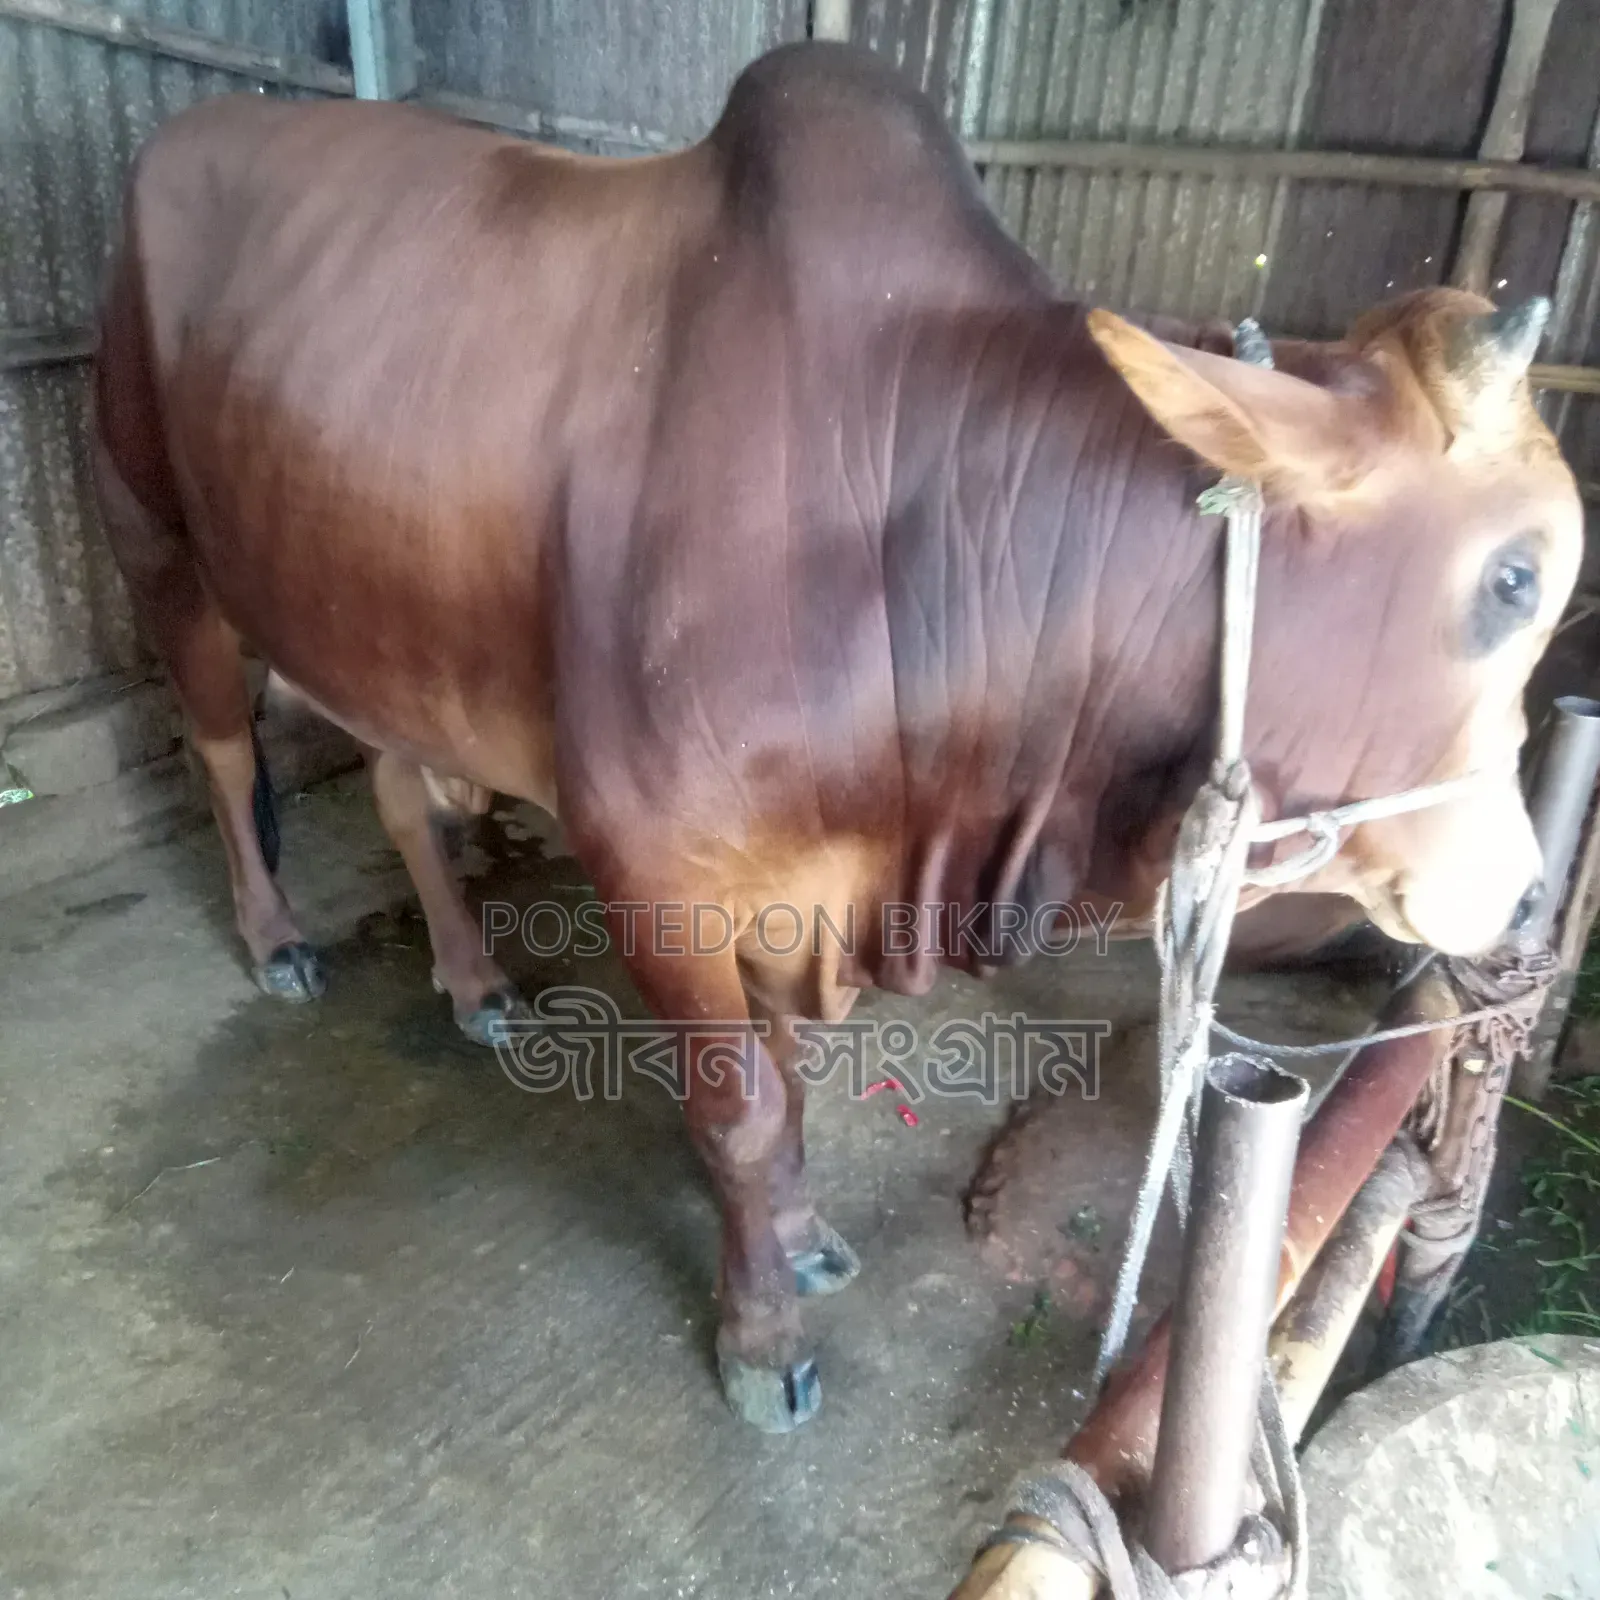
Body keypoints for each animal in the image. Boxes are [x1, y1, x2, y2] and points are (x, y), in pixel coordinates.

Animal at [91, 41, 1581, 1431]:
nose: (1524, 893)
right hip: (157, 542)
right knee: (221, 750)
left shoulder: (790, 887)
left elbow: (791, 1088)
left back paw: (472, 980)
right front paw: (761, 1343)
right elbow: (739, 1112)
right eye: (1514, 578)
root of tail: (185, 131)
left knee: (401, 792)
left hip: (359, 609)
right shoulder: (659, 873)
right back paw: (278, 940)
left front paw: (803, 1247)